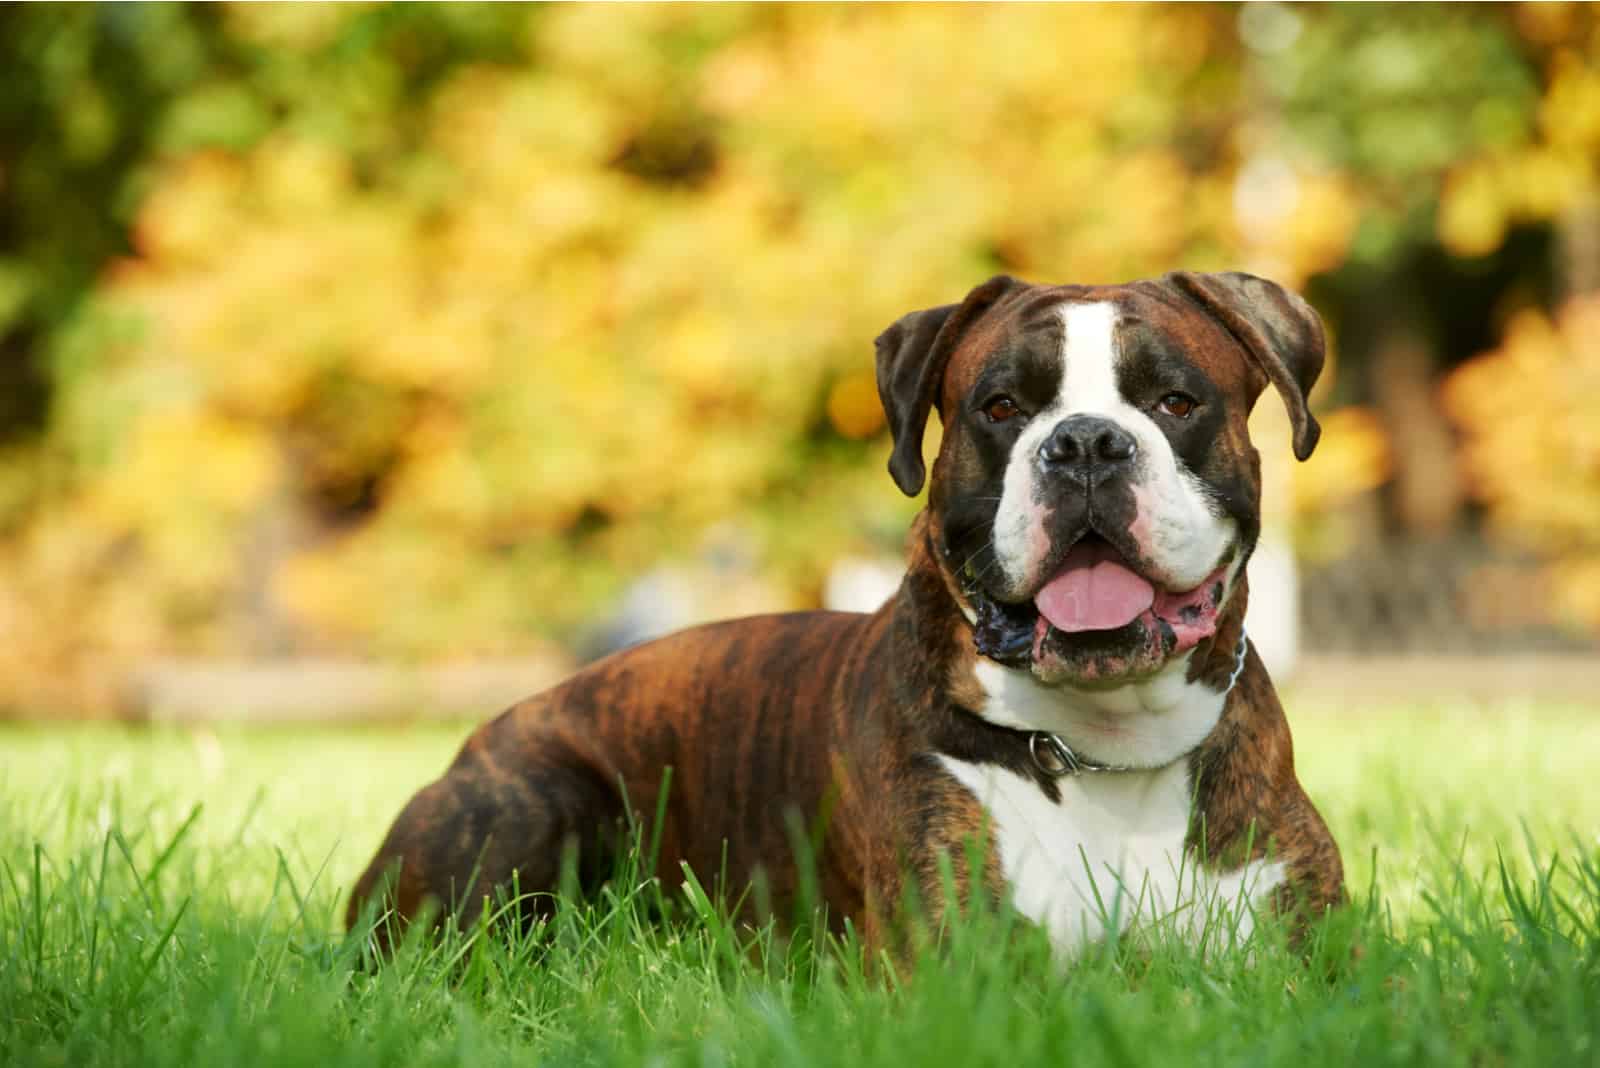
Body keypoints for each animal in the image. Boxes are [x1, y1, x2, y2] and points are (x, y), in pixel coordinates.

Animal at [353, 271, 1350, 952]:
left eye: (1175, 401)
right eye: (1000, 407)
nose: (1085, 444)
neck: (1103, 749)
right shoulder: (961, 962)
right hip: (527, 809)